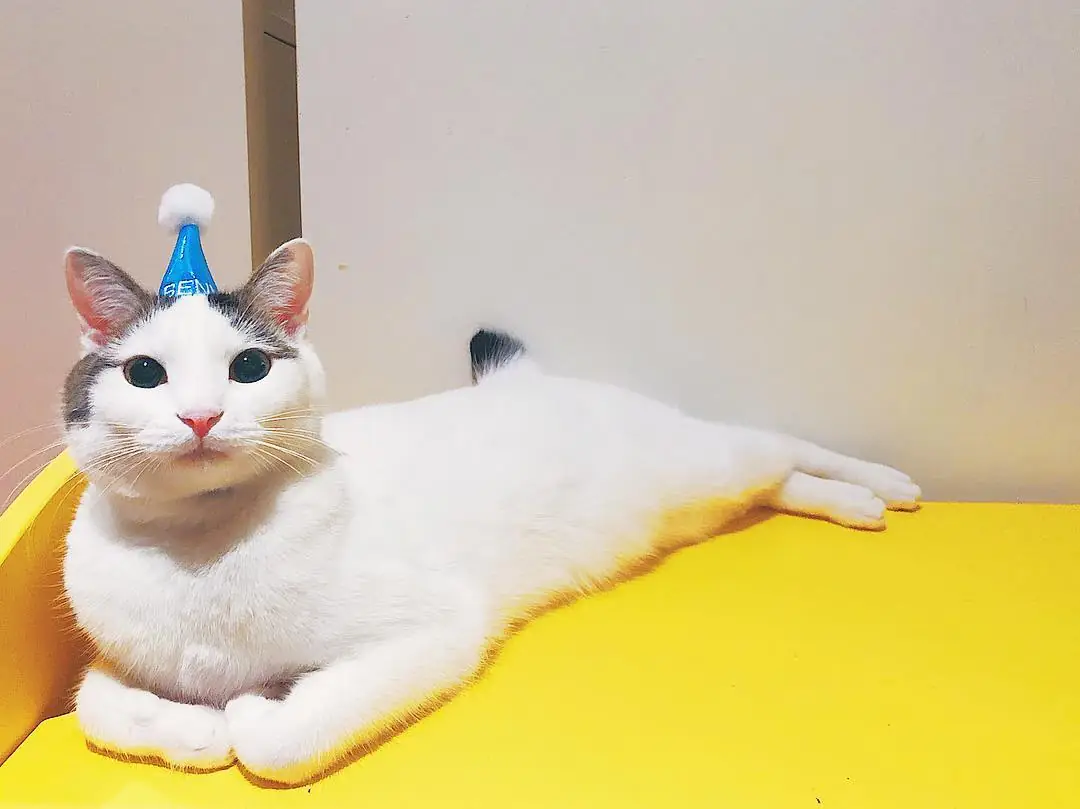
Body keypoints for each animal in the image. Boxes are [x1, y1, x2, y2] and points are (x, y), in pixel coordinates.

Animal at [61, 237, 920, 785]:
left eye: (248, 367)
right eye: (145, 373)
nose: (201, 416)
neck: (198, 550)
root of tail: (525, 382)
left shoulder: (436, 629)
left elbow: (282, 743)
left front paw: (249, 708)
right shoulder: (117, 661)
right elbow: (94, 707)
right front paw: (196, 730)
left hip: (701, 458)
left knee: (779, 443)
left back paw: (879, 485)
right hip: (694, 499)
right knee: (772, 483)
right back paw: (848, 498)